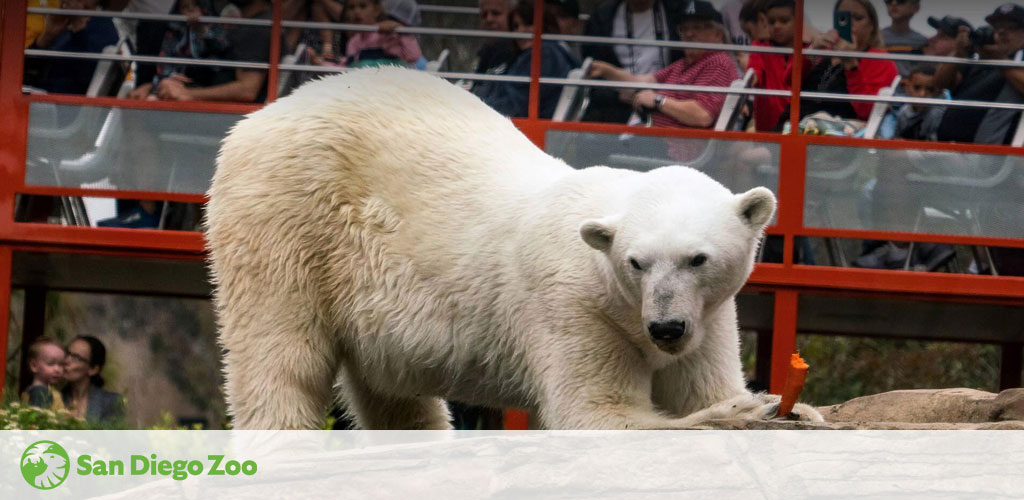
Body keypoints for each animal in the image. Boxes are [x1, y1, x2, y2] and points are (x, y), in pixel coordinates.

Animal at [205, 66, 815, 430]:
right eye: (636, 262)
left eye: (698, 258)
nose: (665, 328)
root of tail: (262, 115)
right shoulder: (574, 307)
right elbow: (599, 415)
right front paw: (748, 411)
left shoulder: (709, 316)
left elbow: (699, 383)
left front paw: (795, 407)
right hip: (285, 221)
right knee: (280, 354)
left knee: (393, 394)